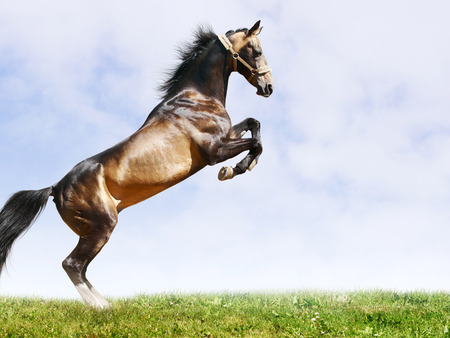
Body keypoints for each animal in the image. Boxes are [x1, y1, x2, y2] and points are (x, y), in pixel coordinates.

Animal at [0, 19, 274, 308]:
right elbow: (256, 144)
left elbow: (254, 124)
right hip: (102, 226)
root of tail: (55, 187)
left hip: (90, 231)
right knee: (72, 264)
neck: (197, 98)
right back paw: (99, 309)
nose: (268, 87)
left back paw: (107, 306)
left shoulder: (226, 136)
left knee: (81, 268)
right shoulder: (214, 151)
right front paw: (233, 170)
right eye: (256, 51)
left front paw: (242, 165)